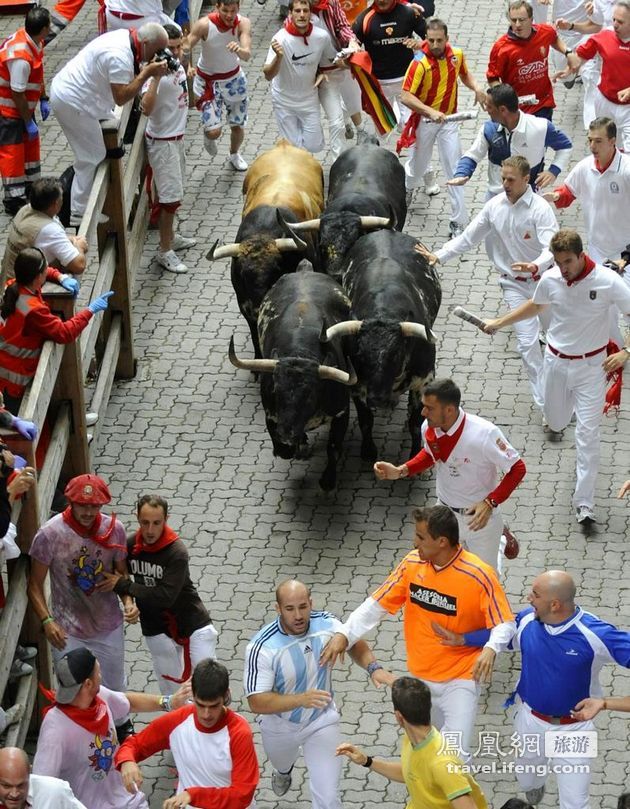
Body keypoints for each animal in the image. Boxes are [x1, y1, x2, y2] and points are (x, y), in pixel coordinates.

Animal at [228, 268, 358, 490]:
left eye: (310, 395)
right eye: (276, 391)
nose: (286, 435)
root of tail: (305, 270)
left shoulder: (341, 411)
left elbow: (334, 448)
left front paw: (327, 481)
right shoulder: (272, 415)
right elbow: (282, 447)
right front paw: (295, 447)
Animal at [334, 230, 442, 464]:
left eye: (395, 354)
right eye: (360, 355)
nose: (378, 399)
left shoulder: (424, 379)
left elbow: (416, 422)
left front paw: (415, 453)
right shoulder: (357, 385)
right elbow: (366, 420)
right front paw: (368, 450)